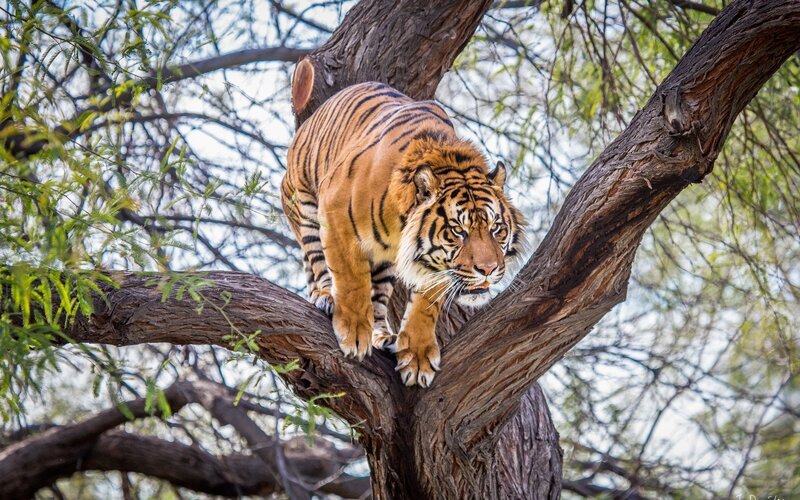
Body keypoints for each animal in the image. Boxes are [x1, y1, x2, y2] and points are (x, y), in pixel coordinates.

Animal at [281, 81, 525, 387]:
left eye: (496, 229)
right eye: (458, 231)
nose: (488, 269)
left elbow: (426, 304)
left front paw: (417, 357)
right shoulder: (335, 215)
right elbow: (351, 280)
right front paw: (354, 332)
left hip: (385, 263)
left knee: (378, 298)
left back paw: (383, 334)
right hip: (304, 204)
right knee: (317, 263)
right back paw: (327, 297)